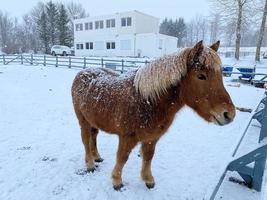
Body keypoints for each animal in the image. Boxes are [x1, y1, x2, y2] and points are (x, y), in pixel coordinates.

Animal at [71, 40, 237, 191]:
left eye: (220, 75)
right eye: (201, 76)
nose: (229, 114)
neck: (147, 101)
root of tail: (82, 73)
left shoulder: (152, 137)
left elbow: (148, 156)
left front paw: (148, 179)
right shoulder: (126, 137)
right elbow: (122, 158)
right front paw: (117, 181)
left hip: (94, 120)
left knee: (93, 136)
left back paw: (96, 157)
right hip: (83, 120)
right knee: (85, 139)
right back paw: (90, 164)